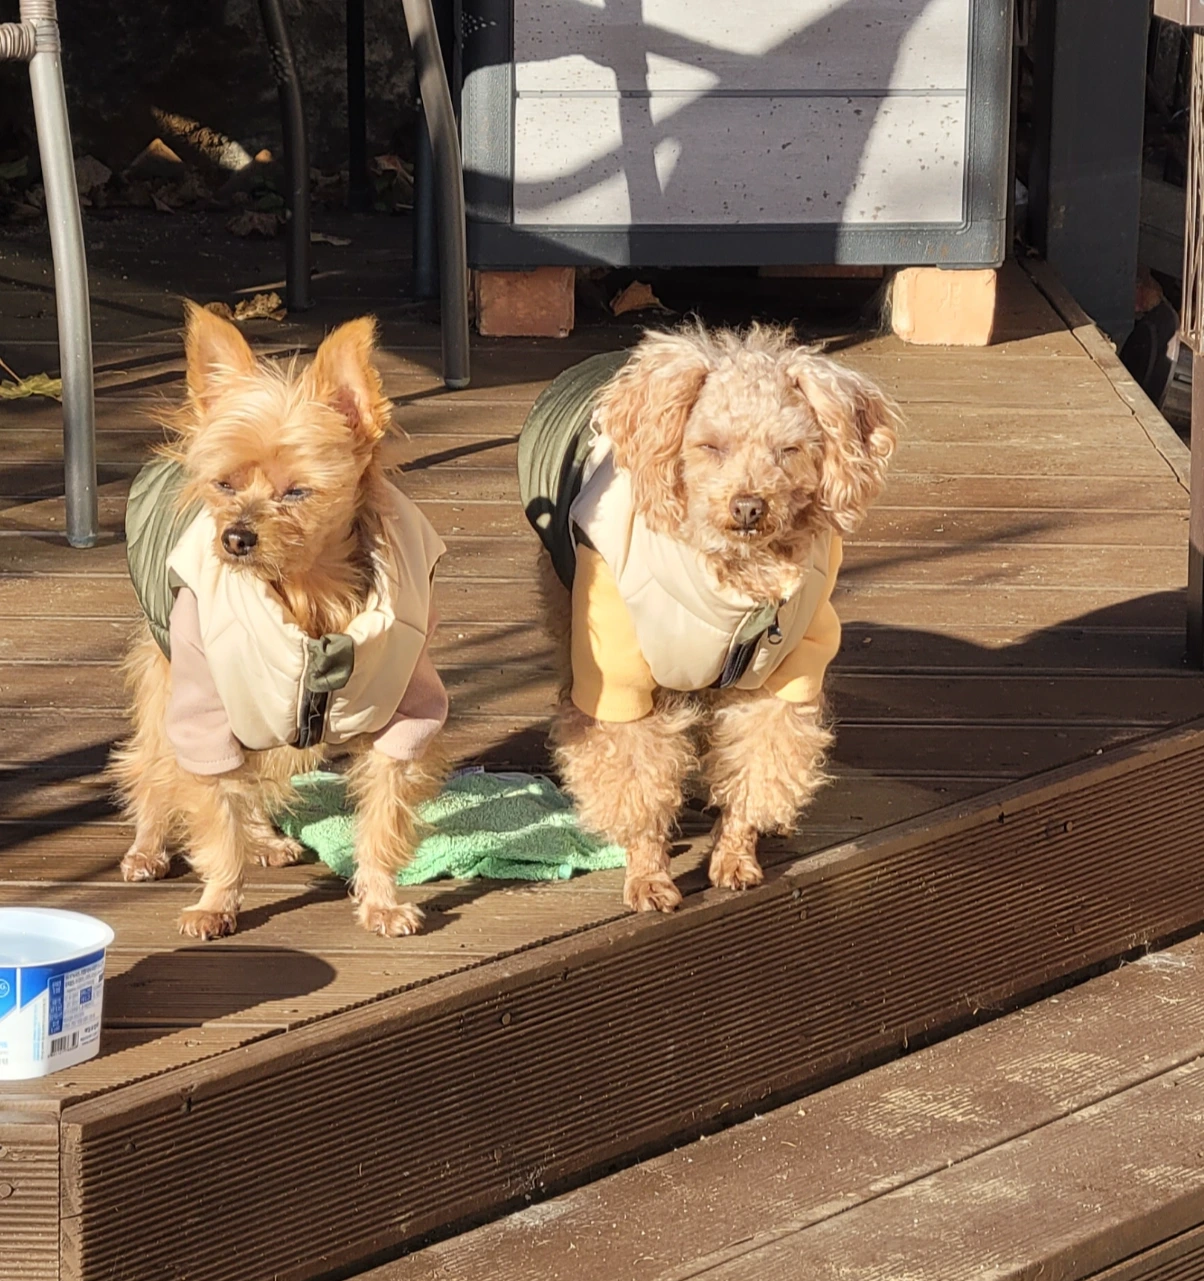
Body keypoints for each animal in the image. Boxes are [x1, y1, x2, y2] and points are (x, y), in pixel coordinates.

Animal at [109, 304, 449, 939]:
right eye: (224, 484)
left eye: (297, 493)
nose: (236, 537)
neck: (308, 598)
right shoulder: (203, 717)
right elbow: (215, 815)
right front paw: (217, 900)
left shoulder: (404, 720)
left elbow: (382, 819)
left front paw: (381, 901)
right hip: (167, 680)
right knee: (153, 762)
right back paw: (147, 847)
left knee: (253, 777)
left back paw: (264, 840)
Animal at [518, 322, 899, 912]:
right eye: (710, 447)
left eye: (789, 451)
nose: (748, 506)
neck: (732, 585)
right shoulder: (621, 681)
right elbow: (636, 778)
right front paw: (648, 876)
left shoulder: (781, 678)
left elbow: (756, 765)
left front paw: (735, 855)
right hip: (568, 603)